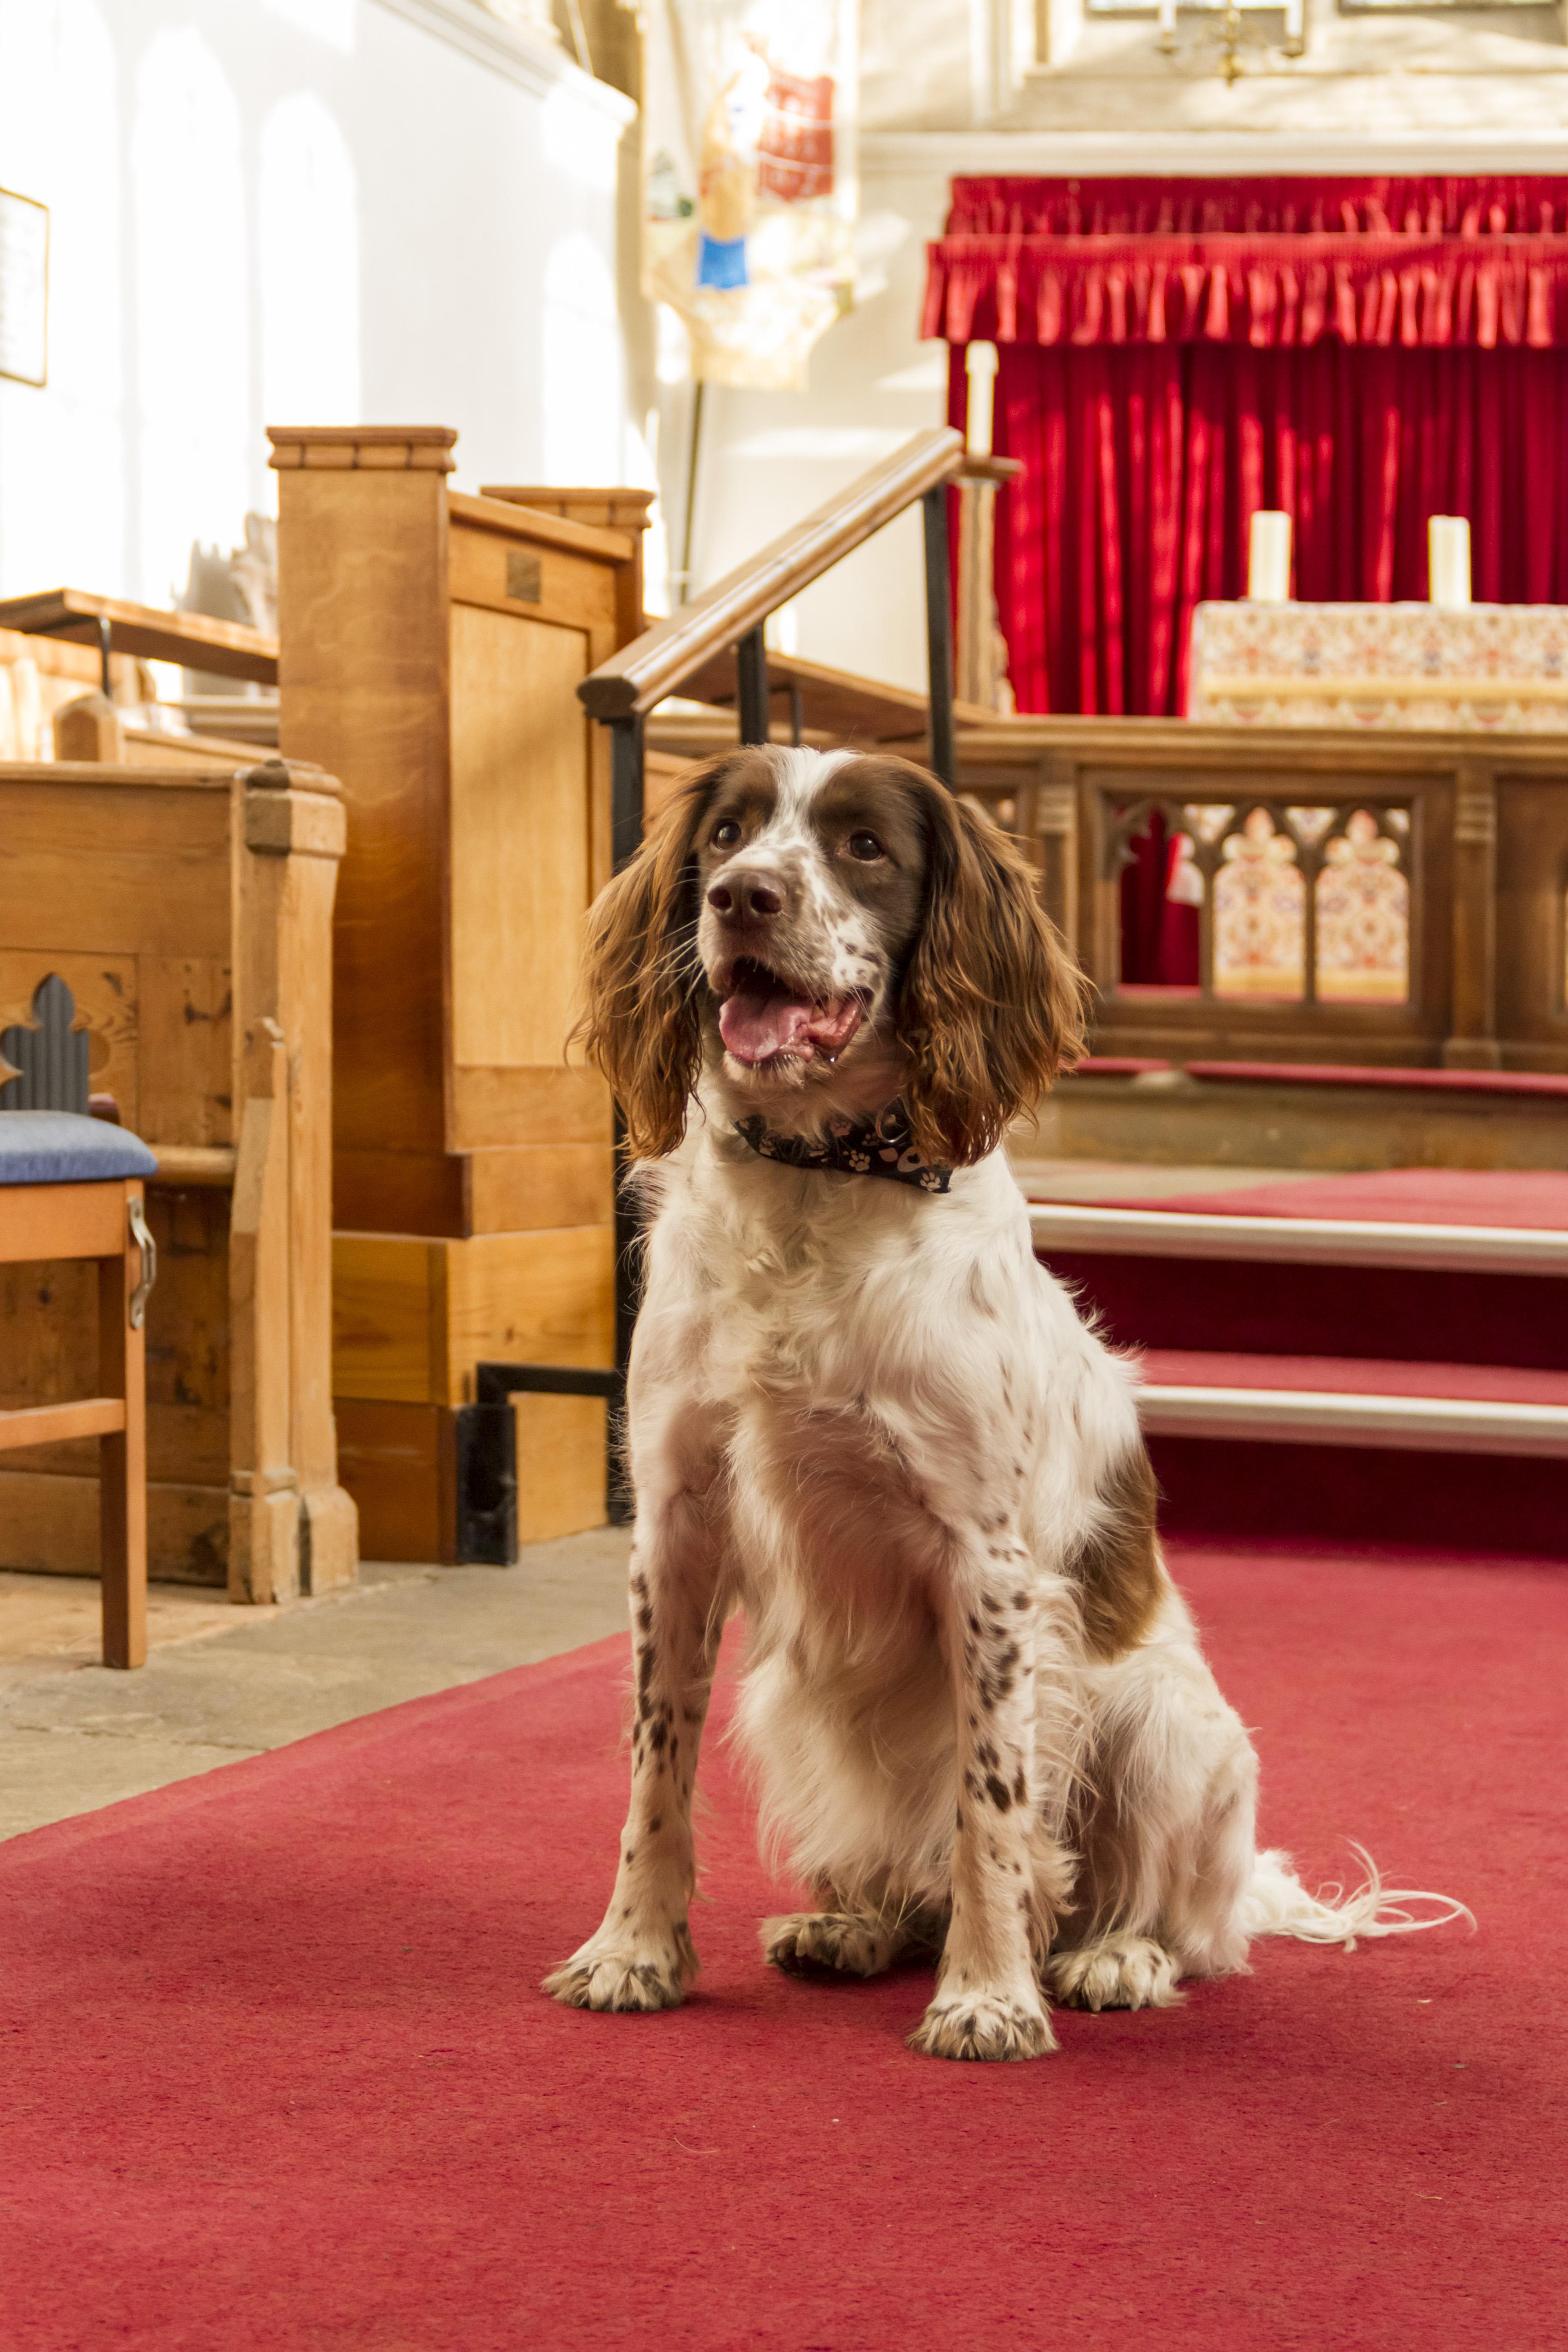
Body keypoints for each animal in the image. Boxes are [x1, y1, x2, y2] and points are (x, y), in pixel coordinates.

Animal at [545, 743, 1467, 2051]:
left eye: (863, 847)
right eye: (726, 835)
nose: (742, 899)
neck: (821, 1185)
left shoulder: (984, 1561)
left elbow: (992, 1808)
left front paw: (988, 1996)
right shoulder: (674, 1530)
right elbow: (652, 1769)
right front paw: (632, 1951)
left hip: (1164, 1725)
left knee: (1181, 1923)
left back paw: (1111, 1957)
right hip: (788, 1702)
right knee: (906, 1875)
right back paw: (854, 1924)